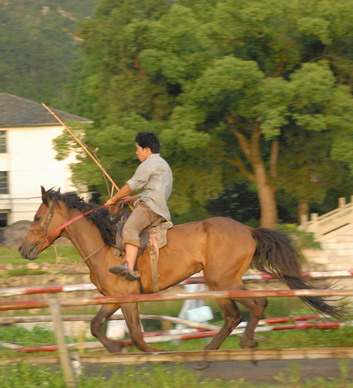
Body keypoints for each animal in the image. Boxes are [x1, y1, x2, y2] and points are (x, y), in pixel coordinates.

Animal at [19, 186, 338, 354]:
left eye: (36, 217)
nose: (23, 249)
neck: (106, 244)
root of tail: (248, 229)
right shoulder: (113, 298)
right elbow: (95, 326)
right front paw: (115, 347)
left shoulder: (129, 299)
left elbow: (138, 336)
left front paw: (153, 353)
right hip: (224, 281)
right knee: (246, 310)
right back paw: (226, 344)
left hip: (221, 281)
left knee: (246, 309)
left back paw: (230, 344)